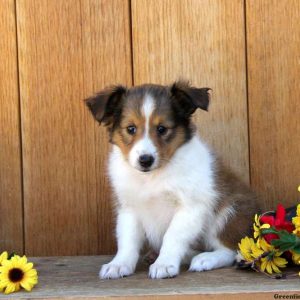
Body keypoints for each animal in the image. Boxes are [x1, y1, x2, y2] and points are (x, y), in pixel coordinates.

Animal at [84, 81, 260, 278]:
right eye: (131, 129)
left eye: (162, 129)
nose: (145, 160)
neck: (152, 177)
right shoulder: (129, 207)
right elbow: (127, 240)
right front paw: (119, 264)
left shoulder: (191, 206)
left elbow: (172, 236)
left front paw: (165, 264)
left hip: (228, 213)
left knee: (230, 249)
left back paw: (204, 259)